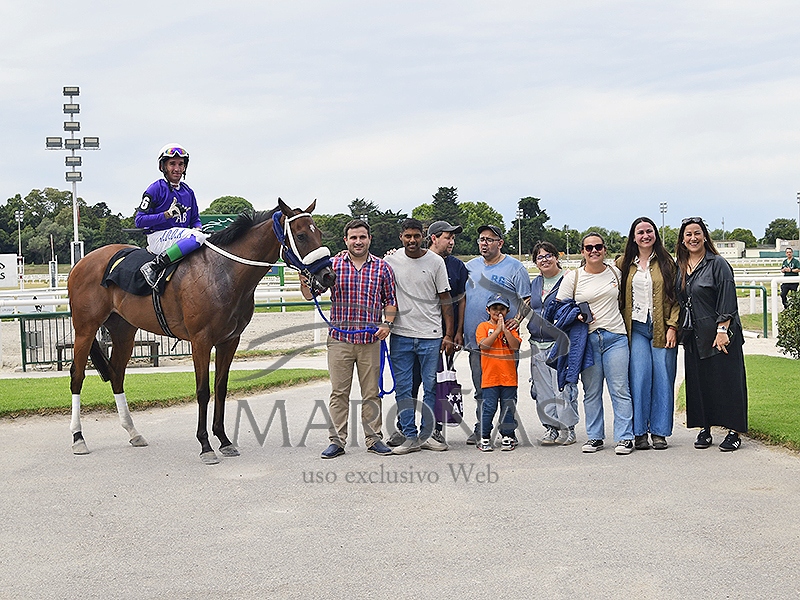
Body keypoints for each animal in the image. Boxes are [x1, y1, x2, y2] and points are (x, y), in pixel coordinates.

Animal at [66, 199, 335, 464]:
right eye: (301, 235)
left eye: (320, 233)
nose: (328, 275)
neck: (223, 272)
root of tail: (81, 263)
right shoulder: (201, 341)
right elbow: (203, 391)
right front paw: (205, 445)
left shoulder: (229, 341)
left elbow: (221, 388)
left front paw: (224, 440)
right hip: (85, 328)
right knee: (77, 375)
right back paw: (78, 438)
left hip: (124, 331)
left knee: (117, 375)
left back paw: (133, 432)